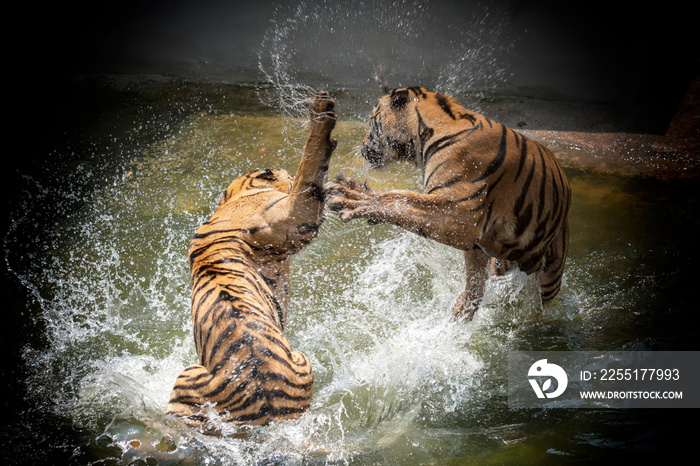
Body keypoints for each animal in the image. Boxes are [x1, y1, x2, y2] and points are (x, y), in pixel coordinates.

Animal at [326, 86, 572, 320]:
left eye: (371, 120)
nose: (362, 147)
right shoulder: (473, 232)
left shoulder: (457, 213)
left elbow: (397, 199)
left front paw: (349, 196)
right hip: (499, 253)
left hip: (550, 275)